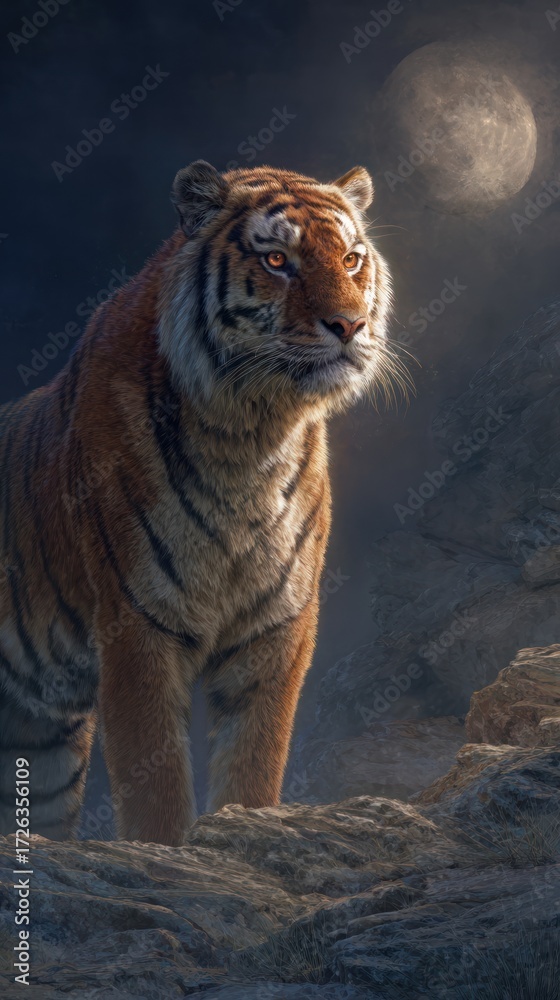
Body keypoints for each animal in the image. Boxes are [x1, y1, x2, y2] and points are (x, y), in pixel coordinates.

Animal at [0, 160, 398, 846]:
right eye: (277, 259)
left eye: (350, 259)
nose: (350, 326)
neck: (250, 435)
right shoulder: (137, 623)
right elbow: (155, 793)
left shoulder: (278, 626)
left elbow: (254, 769)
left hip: (40, 746)